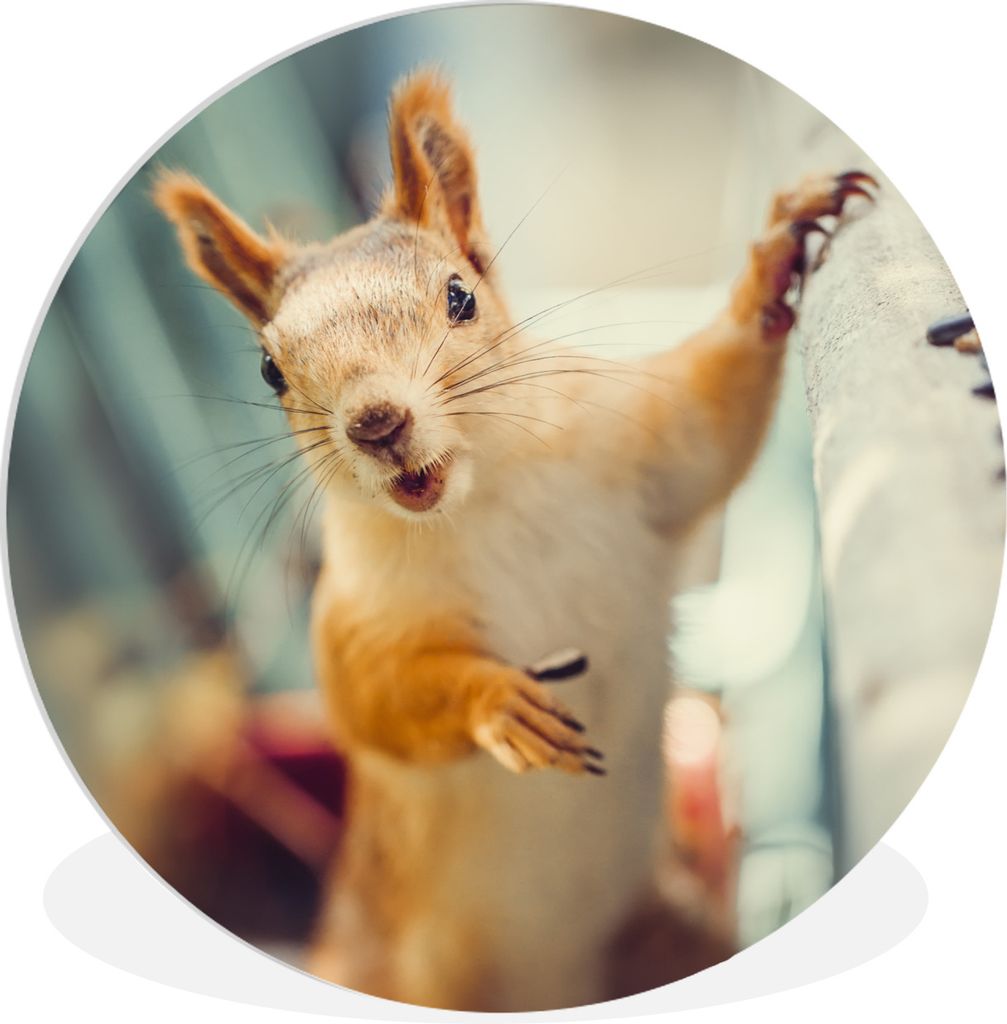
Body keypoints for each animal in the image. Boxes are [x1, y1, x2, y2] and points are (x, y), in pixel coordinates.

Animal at [154, 70, 876, 1012]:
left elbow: (710, 418)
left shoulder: (643, 449)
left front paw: (779, 252)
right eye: (269, 369)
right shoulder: (358, 621)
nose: (377, 424)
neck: (481, 497)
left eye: (460, 296)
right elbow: (378, 698)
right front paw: (496, 701)